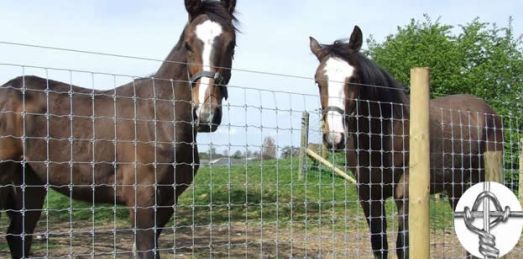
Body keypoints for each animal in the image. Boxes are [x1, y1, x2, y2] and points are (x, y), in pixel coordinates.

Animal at [0, 1, 237, 258]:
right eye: (188, 44)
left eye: (232, 44)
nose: (205, 114)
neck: (159, 118)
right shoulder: (143, 201)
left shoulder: (166, 202)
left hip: (29, 183)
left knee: (18, 236)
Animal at [310, 25, 506, 258]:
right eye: (318, 81)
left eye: (354, 78)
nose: (334, 138)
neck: (382, 137)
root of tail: (490, 112)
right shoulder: (368, 194)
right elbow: (379, 244)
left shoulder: (405, 193)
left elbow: (403, 245)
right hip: (456, 185)